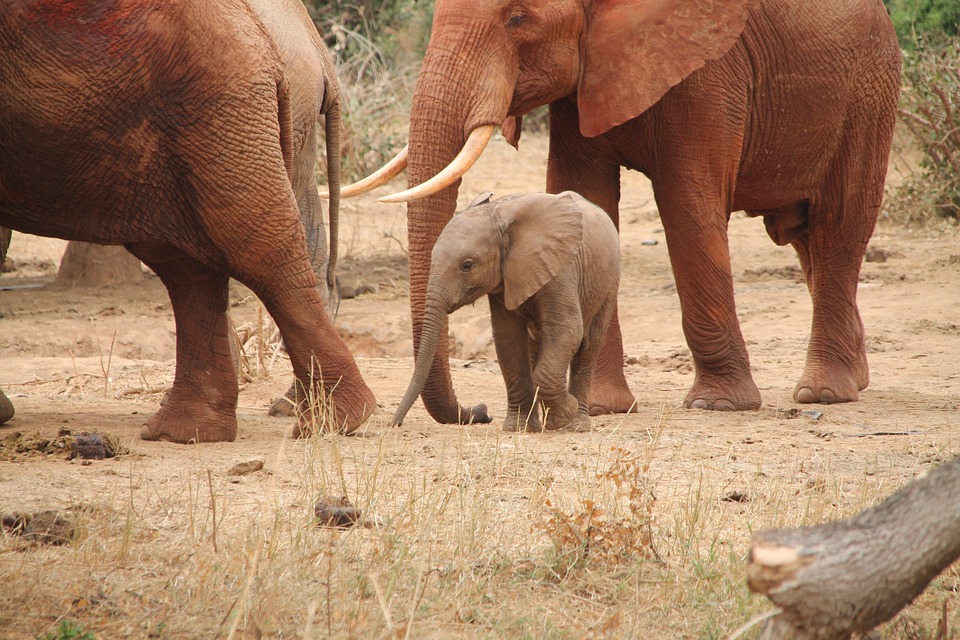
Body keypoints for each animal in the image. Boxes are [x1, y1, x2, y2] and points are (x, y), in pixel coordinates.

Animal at [0, 0, 376, 440]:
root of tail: (316, 54)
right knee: (189, 262)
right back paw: (189, 430)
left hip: (217, 108)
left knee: (255, 245)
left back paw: (328, 420)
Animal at [394, 190, 620, 430]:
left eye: (467, 265)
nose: (394, 423)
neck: (498, 216)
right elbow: (508, 338)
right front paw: (518, 428)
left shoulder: (560, 269)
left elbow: (566, 330)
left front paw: (564, 415)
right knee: (536, 345)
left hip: (607, 283)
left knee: (588, 346)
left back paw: (576, 425)